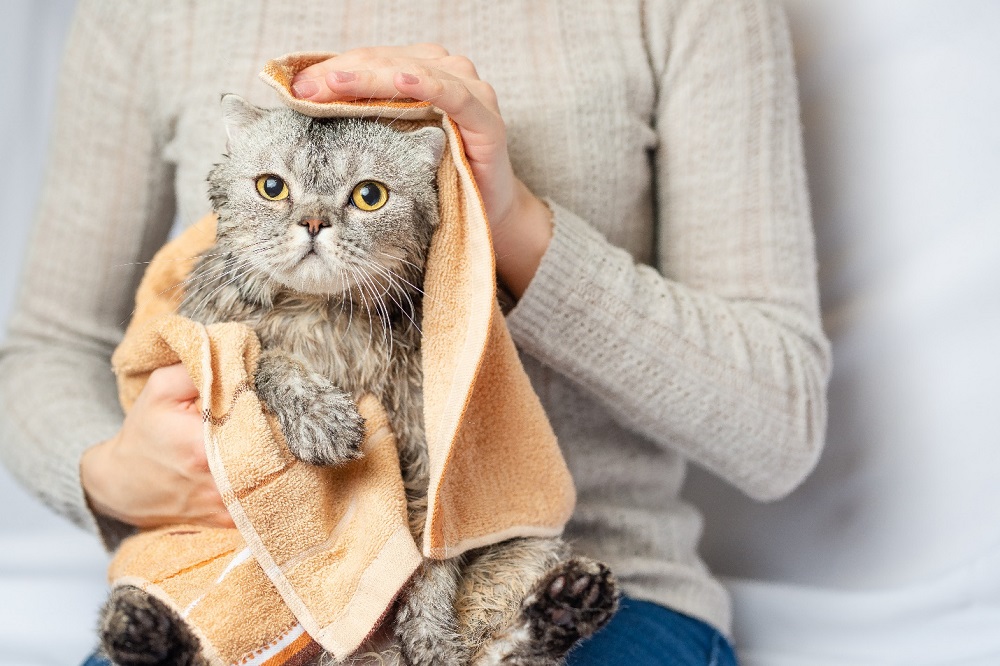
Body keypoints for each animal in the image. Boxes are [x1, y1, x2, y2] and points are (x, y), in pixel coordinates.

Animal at [99, 96, 616, 664]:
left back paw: (569, 604)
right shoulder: (213, 339)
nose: (313, 221)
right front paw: (320, 415)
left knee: (507, 649)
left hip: (528, 547)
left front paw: (431, 633)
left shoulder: (430, 463)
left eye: (370, 196)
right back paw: (139, 630)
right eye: (271, 187)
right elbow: (264, 358)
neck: (324, 317)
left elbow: (431, 564)